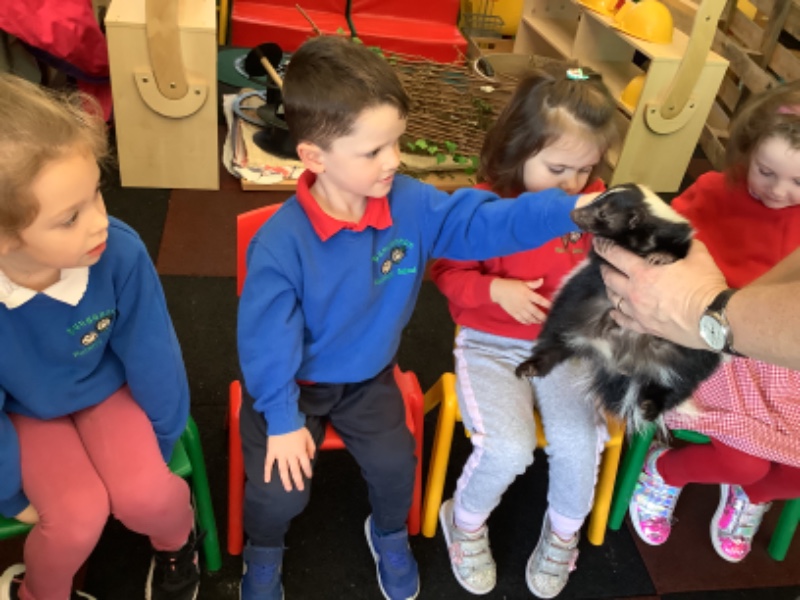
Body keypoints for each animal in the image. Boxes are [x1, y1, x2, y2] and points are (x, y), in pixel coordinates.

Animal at [515, 184, 721, 432]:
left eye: (603, 214)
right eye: (594, 200)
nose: (573, 214)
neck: (639, 241)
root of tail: (619, 361)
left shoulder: (681, 241)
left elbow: (678, 252)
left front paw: (661, 257)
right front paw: (602, 242)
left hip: (693, 352)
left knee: (680, 383)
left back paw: (651, 406)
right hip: (571, 311)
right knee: (556, 341)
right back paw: (532, 367)